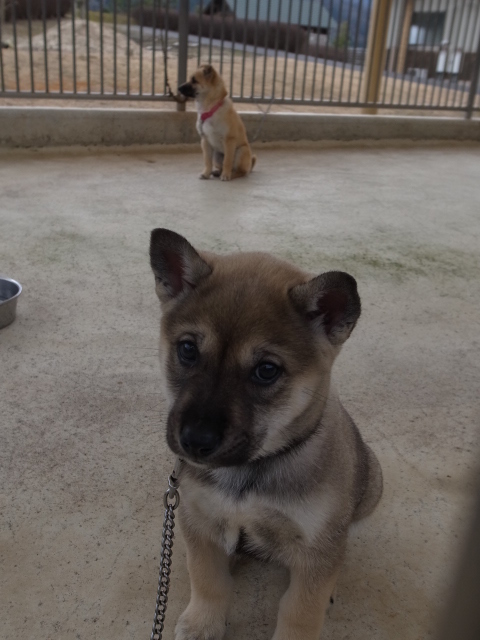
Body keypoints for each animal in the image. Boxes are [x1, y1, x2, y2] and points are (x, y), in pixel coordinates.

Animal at [150, 229, 382, 640]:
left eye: (267, 370)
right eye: (188, 349)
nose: (194, 441)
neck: (249, 470)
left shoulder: (315, 547)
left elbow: (301, 610)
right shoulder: (199, 521)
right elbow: (206, 577)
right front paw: (203, 622)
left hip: (372, 485)